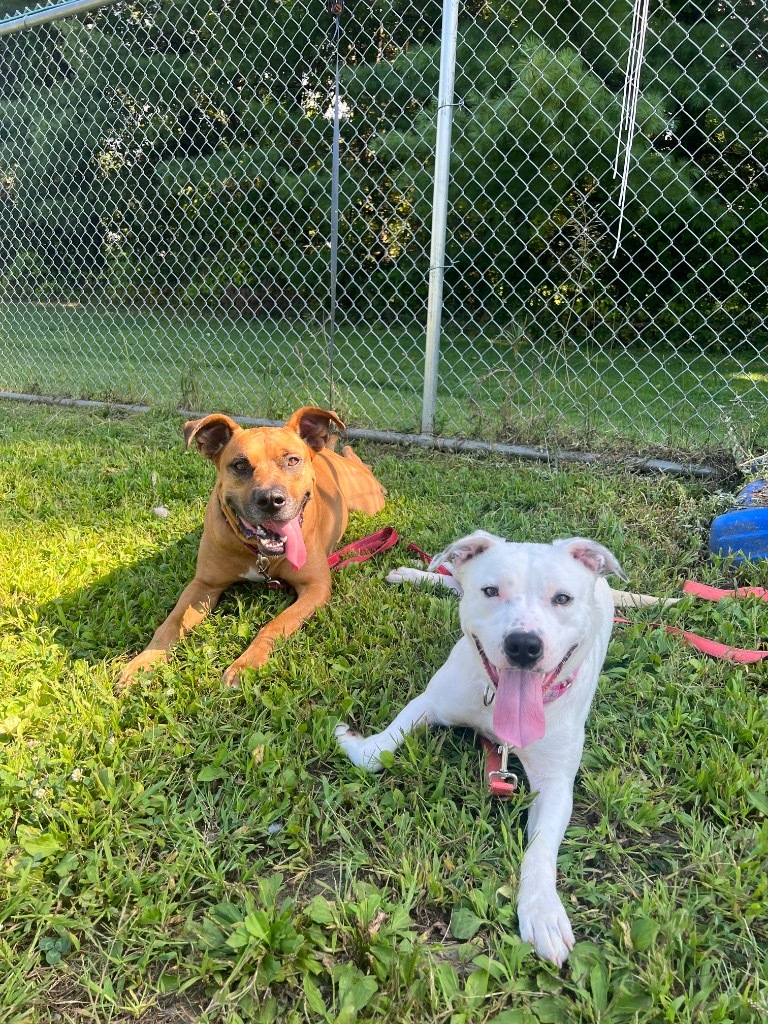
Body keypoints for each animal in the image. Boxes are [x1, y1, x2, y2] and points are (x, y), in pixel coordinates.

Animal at [118, 403, 385, 684]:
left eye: (292, 460)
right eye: (239, 465)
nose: (270, 499)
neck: (260, 554)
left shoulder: (316, 587)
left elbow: (276, 624)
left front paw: (247, 662)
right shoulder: (203, 585)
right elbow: (169, 624)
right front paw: (144, 661)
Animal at [339, 532, 626, 962]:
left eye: (562, 598)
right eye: (491, 591)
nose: (523, 645)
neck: (495, 707)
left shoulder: (556, 784)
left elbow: (541, 850)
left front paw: (542, 910)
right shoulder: (431, 702)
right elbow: (376, 754)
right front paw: (351, 739)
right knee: (450, 578)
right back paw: (412, 573)